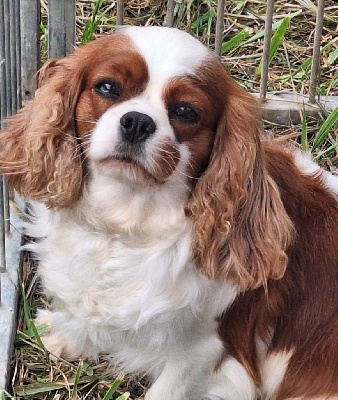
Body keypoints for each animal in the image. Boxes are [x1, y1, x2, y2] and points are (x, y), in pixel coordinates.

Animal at [0, 26, 338, 398]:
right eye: (107, 87)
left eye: (186, 111)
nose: (137, 122)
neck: (127, 224)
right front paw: (65, 336)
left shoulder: (206, 353)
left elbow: (165, 389)